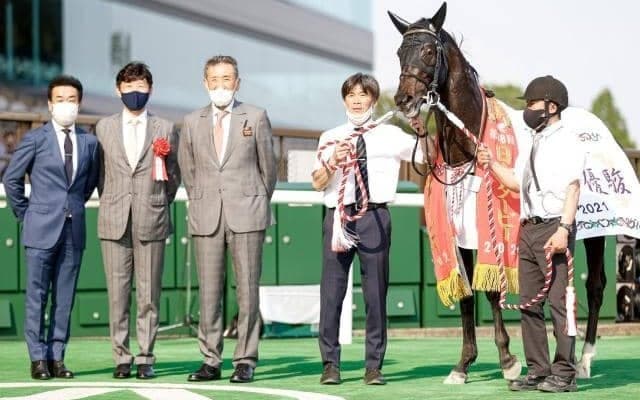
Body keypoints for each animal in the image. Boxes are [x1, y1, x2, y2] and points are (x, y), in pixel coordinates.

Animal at [388, 2, 607, 383]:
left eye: (429, 51)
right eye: (400, 52)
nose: (405, 99)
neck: (469, 145)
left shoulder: (489, 231)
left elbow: (491, 290)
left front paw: (507, 359)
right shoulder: (459, 233)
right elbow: (466, 295)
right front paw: (462, 365)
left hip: (596, 233)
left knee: (594, 286)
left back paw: (583, 360)